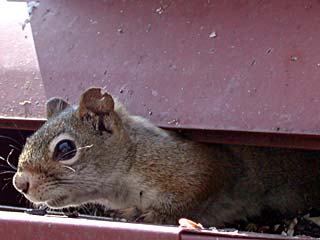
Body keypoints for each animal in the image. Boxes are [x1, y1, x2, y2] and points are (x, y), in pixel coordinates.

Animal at [13, 87, 320, 226]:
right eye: (27, 138)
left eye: (65, 149)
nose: (20, 183)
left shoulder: (200, 170)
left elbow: (198, 194)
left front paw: (153, 216)